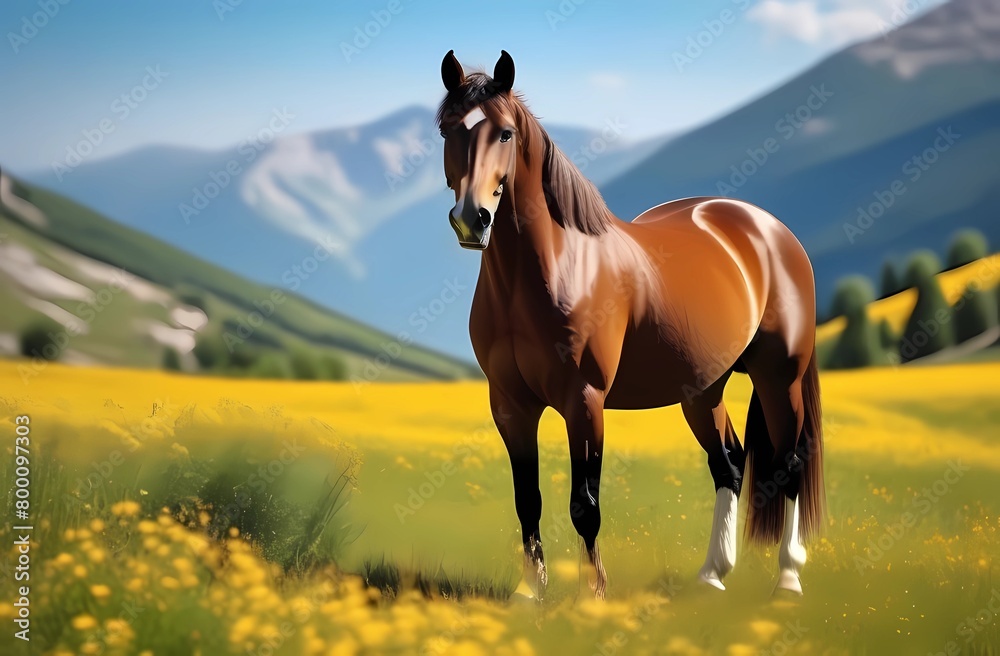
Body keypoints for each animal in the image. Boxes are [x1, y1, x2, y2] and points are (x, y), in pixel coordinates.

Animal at [437, 50, 825, 600]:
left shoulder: (584, 400)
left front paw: (594, 596)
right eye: (447, 129)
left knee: (789, 464)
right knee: (729, 462)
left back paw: (787, 580)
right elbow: (527, 499)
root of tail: (771, 230)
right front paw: (530, 594)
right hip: (702, 389)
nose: (472, 219)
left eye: (506, 133)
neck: (554, 268)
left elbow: (585, 505)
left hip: (779, 376)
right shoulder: (510, 405)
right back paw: (712, 575)